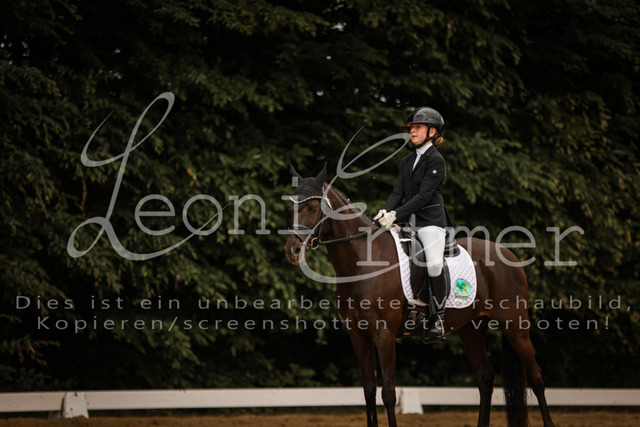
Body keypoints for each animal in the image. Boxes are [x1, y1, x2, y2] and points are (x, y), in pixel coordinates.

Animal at [284, 164, 555, 427]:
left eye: (313, 206)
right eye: (290, 207)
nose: (292, 250)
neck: (364, 261)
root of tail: (509, 255)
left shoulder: (383, 335)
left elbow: (388, 394)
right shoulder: (359, 336)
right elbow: (369, 391)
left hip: (515, 326)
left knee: (536, 377)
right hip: (472, 329)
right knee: (486, 378)